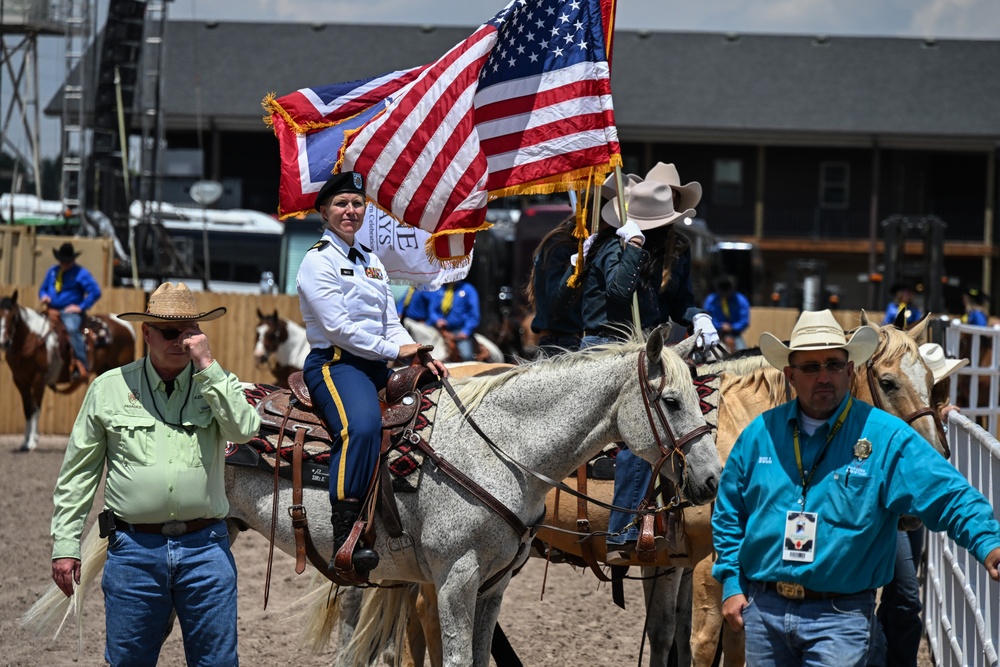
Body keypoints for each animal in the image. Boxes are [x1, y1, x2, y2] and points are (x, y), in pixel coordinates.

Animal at [0, 290, 136, 452]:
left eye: (13, 317)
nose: (3, 342)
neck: (33, 338)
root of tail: (125, 325)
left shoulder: (39, 380)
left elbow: (36, 409)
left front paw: (32, 442)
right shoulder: (20, 381)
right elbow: (28, 411)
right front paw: (25, 442)